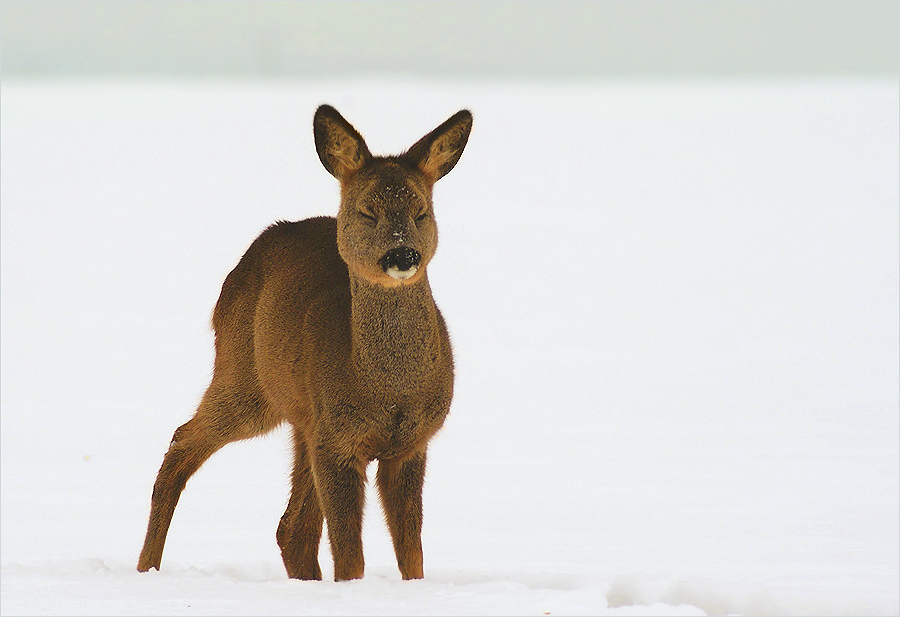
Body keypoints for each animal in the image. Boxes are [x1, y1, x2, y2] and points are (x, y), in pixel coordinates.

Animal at [137, 103, 474, 580]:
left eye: (421, 211)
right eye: (366, 211)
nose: (402, 254)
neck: (388, 391)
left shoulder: (410, 443)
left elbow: (412, 553)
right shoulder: (337, 441)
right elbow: (350, 555)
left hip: (301, 417)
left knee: (291, 527)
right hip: (246, 379)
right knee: (182, 441)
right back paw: (146, 568)